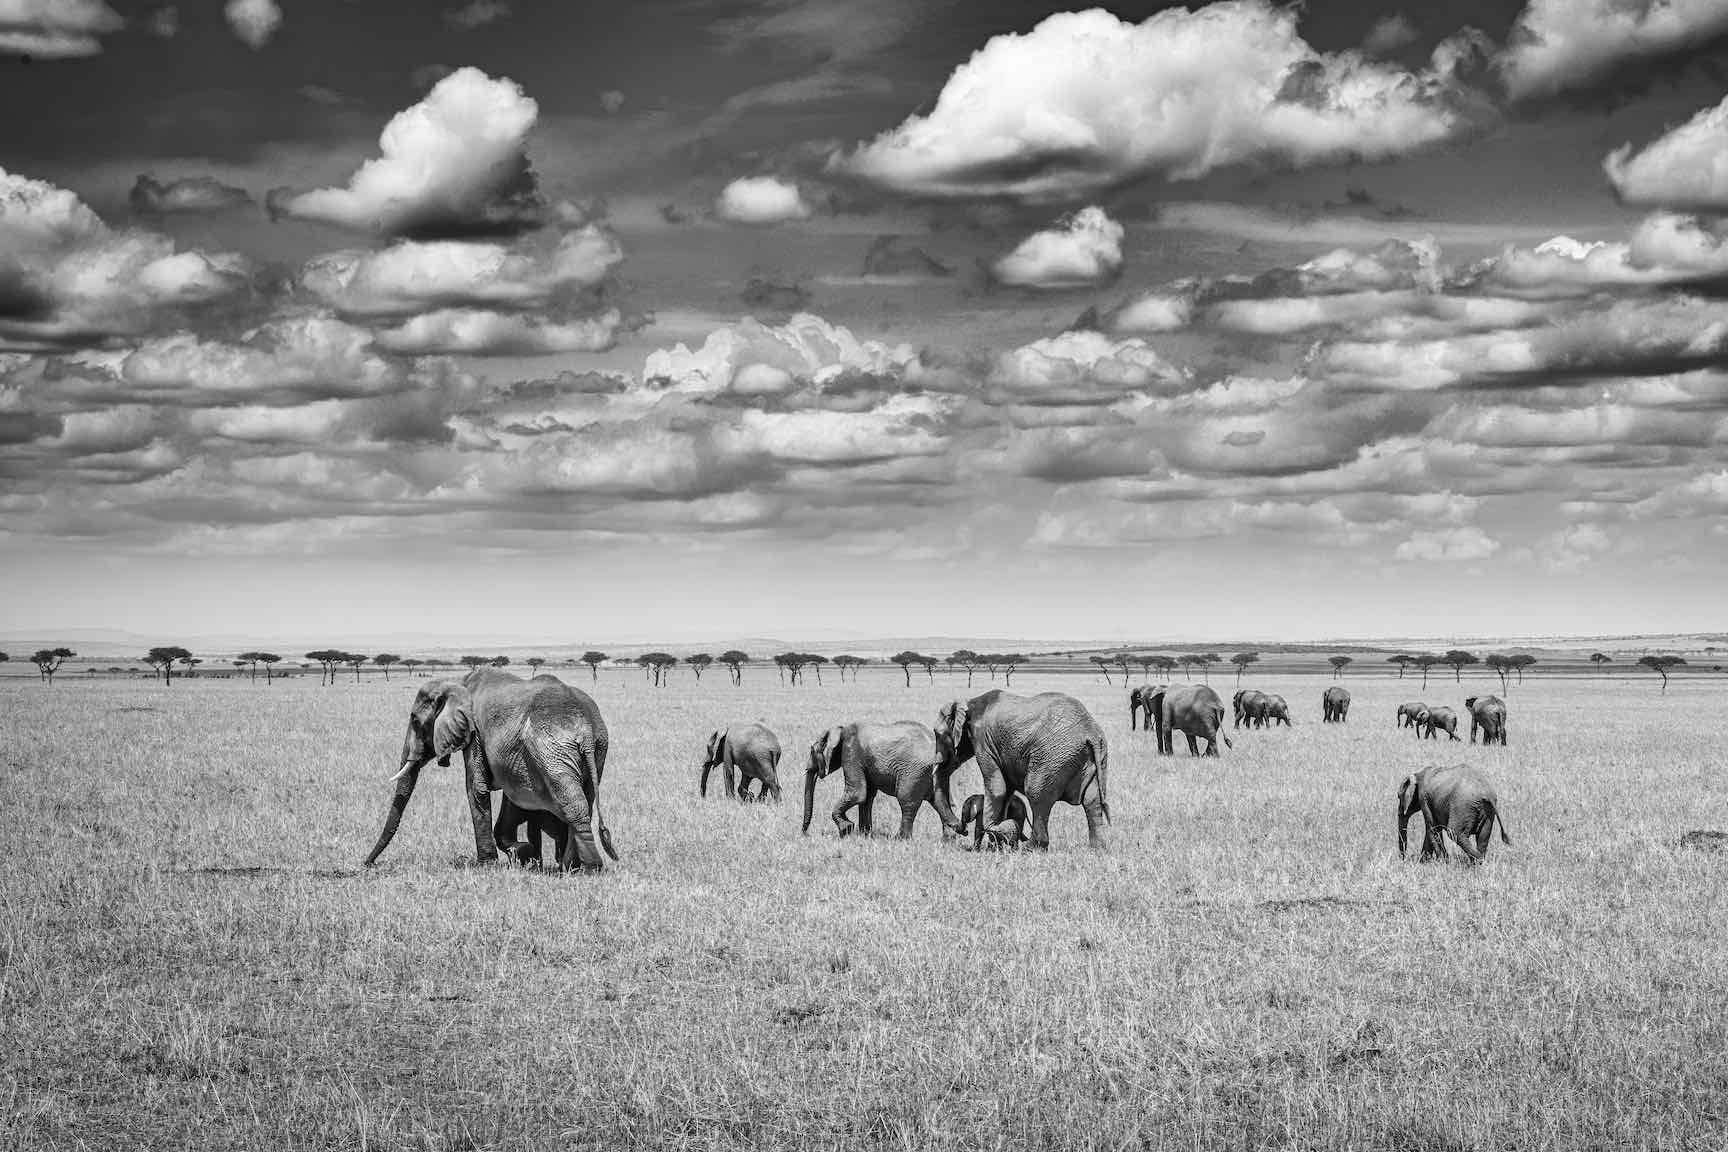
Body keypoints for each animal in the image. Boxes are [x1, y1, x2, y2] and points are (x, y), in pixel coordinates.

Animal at [361, 666, 618, 873]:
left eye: (415, 721)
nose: (367, 864)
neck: (458, 683)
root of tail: (586, 729)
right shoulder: (515, 760)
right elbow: (508, 798)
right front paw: (524, 854)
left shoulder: (474, 734)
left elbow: (477, 789)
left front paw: (488, 864)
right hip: (597, 748)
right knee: (586, 799)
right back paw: (571, 866)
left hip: (551, 747)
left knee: (573, 804)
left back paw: (587, 868)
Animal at [798, 721, 960, 839]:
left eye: (811, 751)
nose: (805, 834)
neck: (841, 729)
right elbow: (867, 797)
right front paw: (864, 834)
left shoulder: (851, 753)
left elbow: (858, 793)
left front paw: (846, 829)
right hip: (937, 774)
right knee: (939, 800)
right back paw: (948, 838)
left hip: (914, 772)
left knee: (907, 801)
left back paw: (900, 839)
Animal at [933, 690, 1105, 853]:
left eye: (936, 733)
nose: (962, 831)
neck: (969, 702)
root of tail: (1091, 732)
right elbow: (1007, 791)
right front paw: (995, 847)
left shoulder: (983, 741)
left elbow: (997, 788)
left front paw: (995, 835)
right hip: (1090, 758)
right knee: (1092, 800)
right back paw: (1096, 849)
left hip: (1053, 757)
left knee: (1036, 794)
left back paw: (1031, 847)